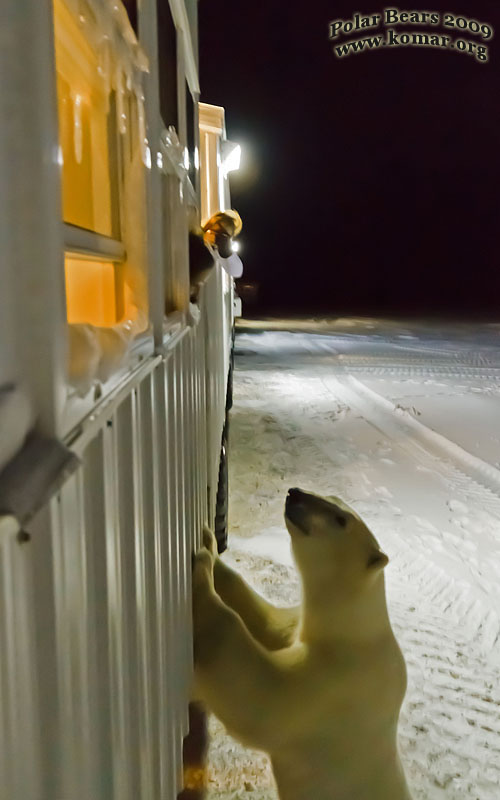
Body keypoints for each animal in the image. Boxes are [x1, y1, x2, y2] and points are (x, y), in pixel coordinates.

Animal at [191, 488, 410, 800]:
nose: (295, 493)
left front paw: (202, 572)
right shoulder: (299, 625)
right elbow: (269, 621)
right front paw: (210, 544)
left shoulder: (339, 684)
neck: (353, 630)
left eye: (341, 519)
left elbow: (262, 699)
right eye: (330, 495)